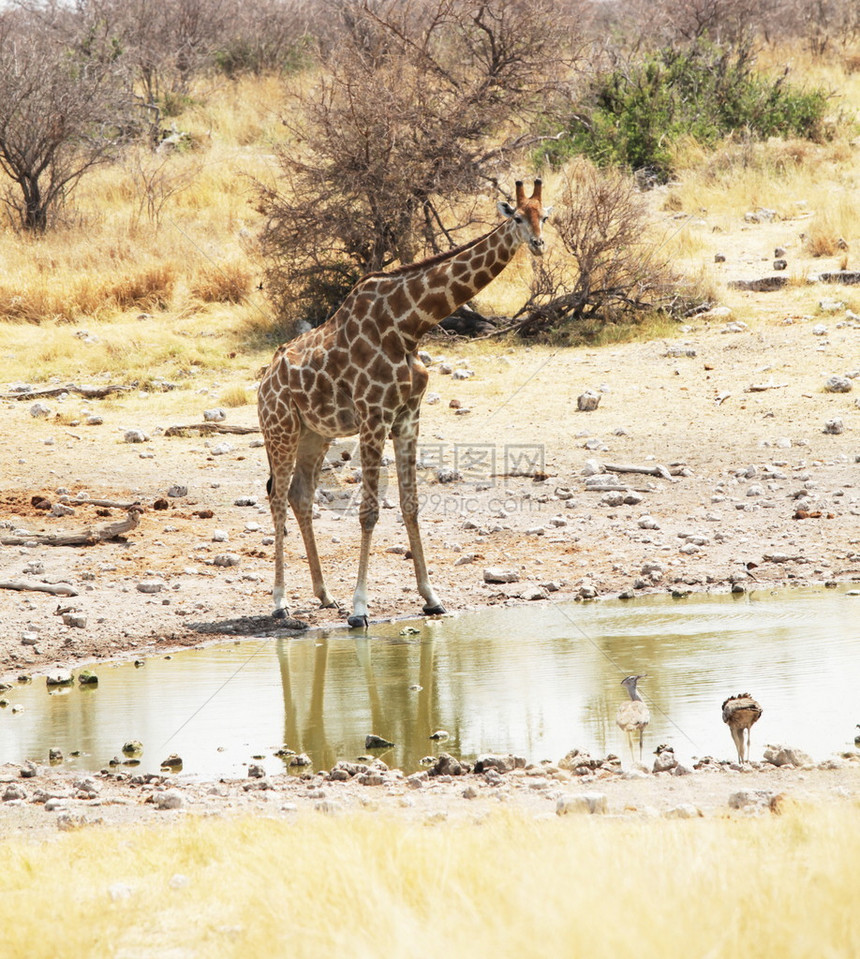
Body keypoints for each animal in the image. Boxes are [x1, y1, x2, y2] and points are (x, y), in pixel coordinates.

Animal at [258, 180, 552, 632]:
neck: (409, 326)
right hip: (281, 430)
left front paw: (431, 598)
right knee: (276, 497)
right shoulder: (374, 416)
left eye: (546, 216)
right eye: (518, 217)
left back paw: (324, 595)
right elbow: (369, 511)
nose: (538, 244)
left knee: (299, 495)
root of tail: (263, 384)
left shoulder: (409, 416)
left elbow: (411, 505)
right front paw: (360, 609)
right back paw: (280, 602)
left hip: (315, 434)